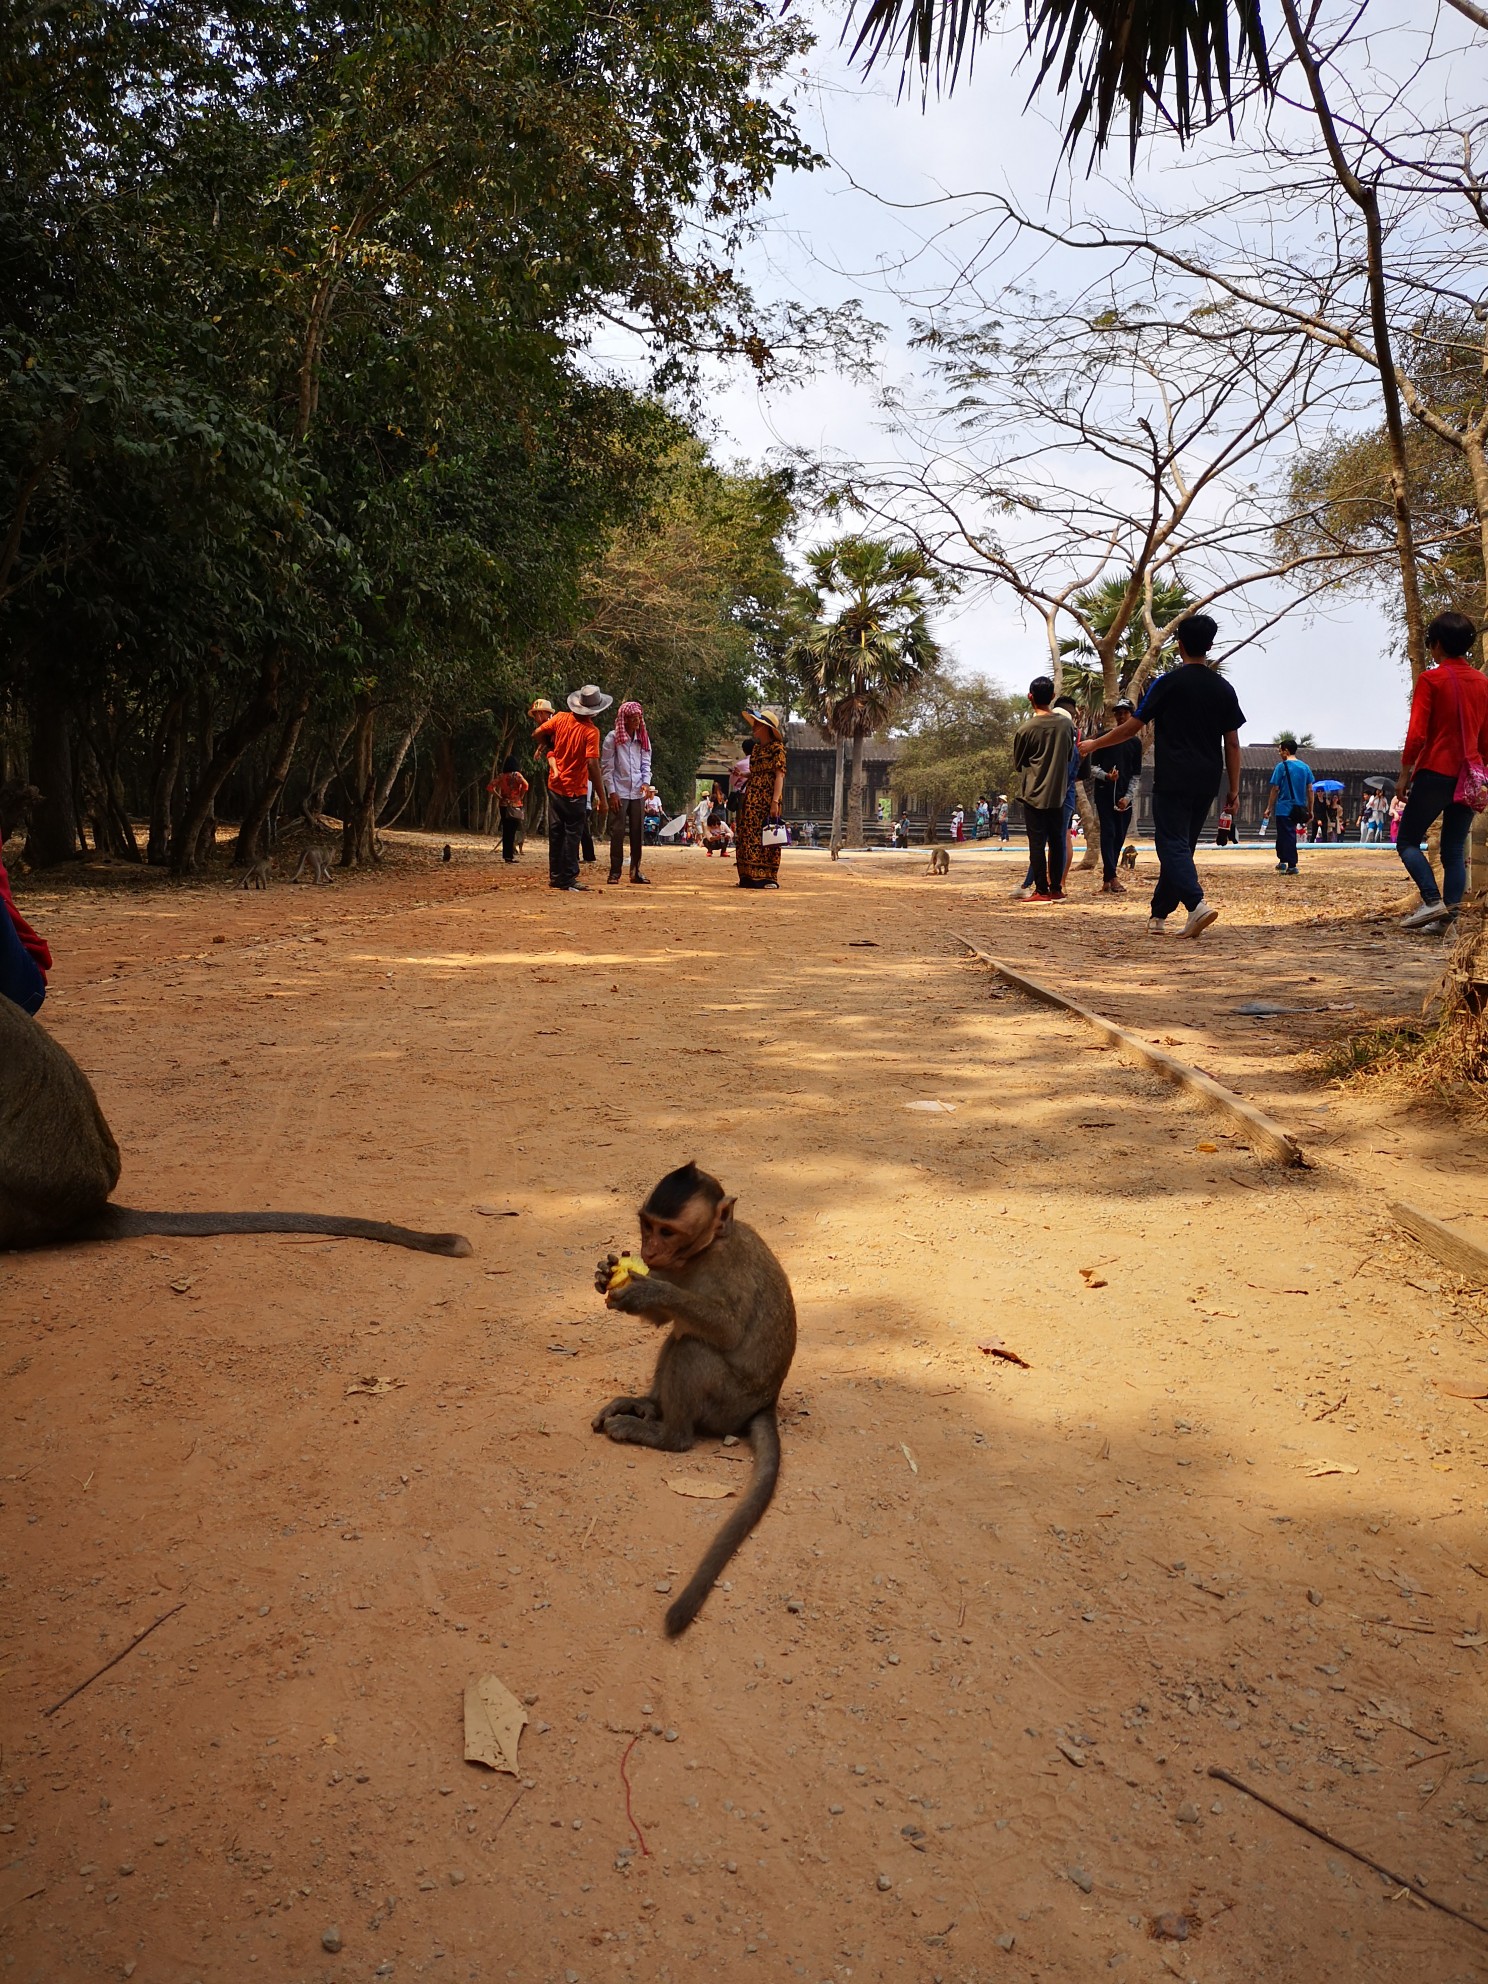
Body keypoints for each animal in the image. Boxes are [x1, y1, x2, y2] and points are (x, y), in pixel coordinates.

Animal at [599, 1158, 797, 1634]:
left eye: (667, 1231)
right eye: (647, 1225)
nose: (649, 1249)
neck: (706, 1251)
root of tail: (765, 1404)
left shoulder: (730, 1269)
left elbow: (725, 1329)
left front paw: (650, 1289)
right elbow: (660, 1321)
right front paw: (610, 1274)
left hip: (727, 1402)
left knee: (691, 1346)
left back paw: (666, 1435)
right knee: (677, 1336)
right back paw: (647, 1406)